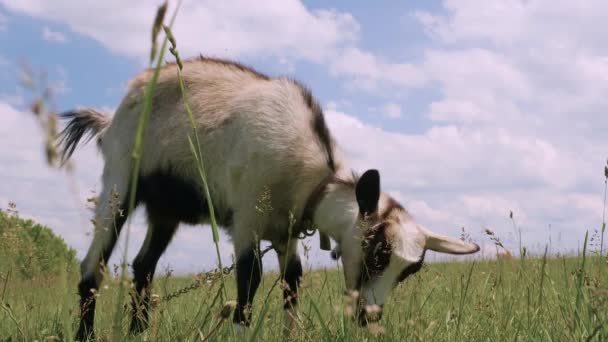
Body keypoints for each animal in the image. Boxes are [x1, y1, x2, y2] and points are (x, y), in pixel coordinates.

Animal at [58, 56, 480, 340]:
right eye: (377, 252)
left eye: (410, 270)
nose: (369, 315)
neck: (309, 173)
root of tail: (108, 119)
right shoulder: (247, 217)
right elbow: (250, 281)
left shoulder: (285, 231)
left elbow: (292, 281)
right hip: (119, 181)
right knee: (93, 266)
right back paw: (87, 332)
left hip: (166, 210)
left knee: (143, 267)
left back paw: (138, 333)